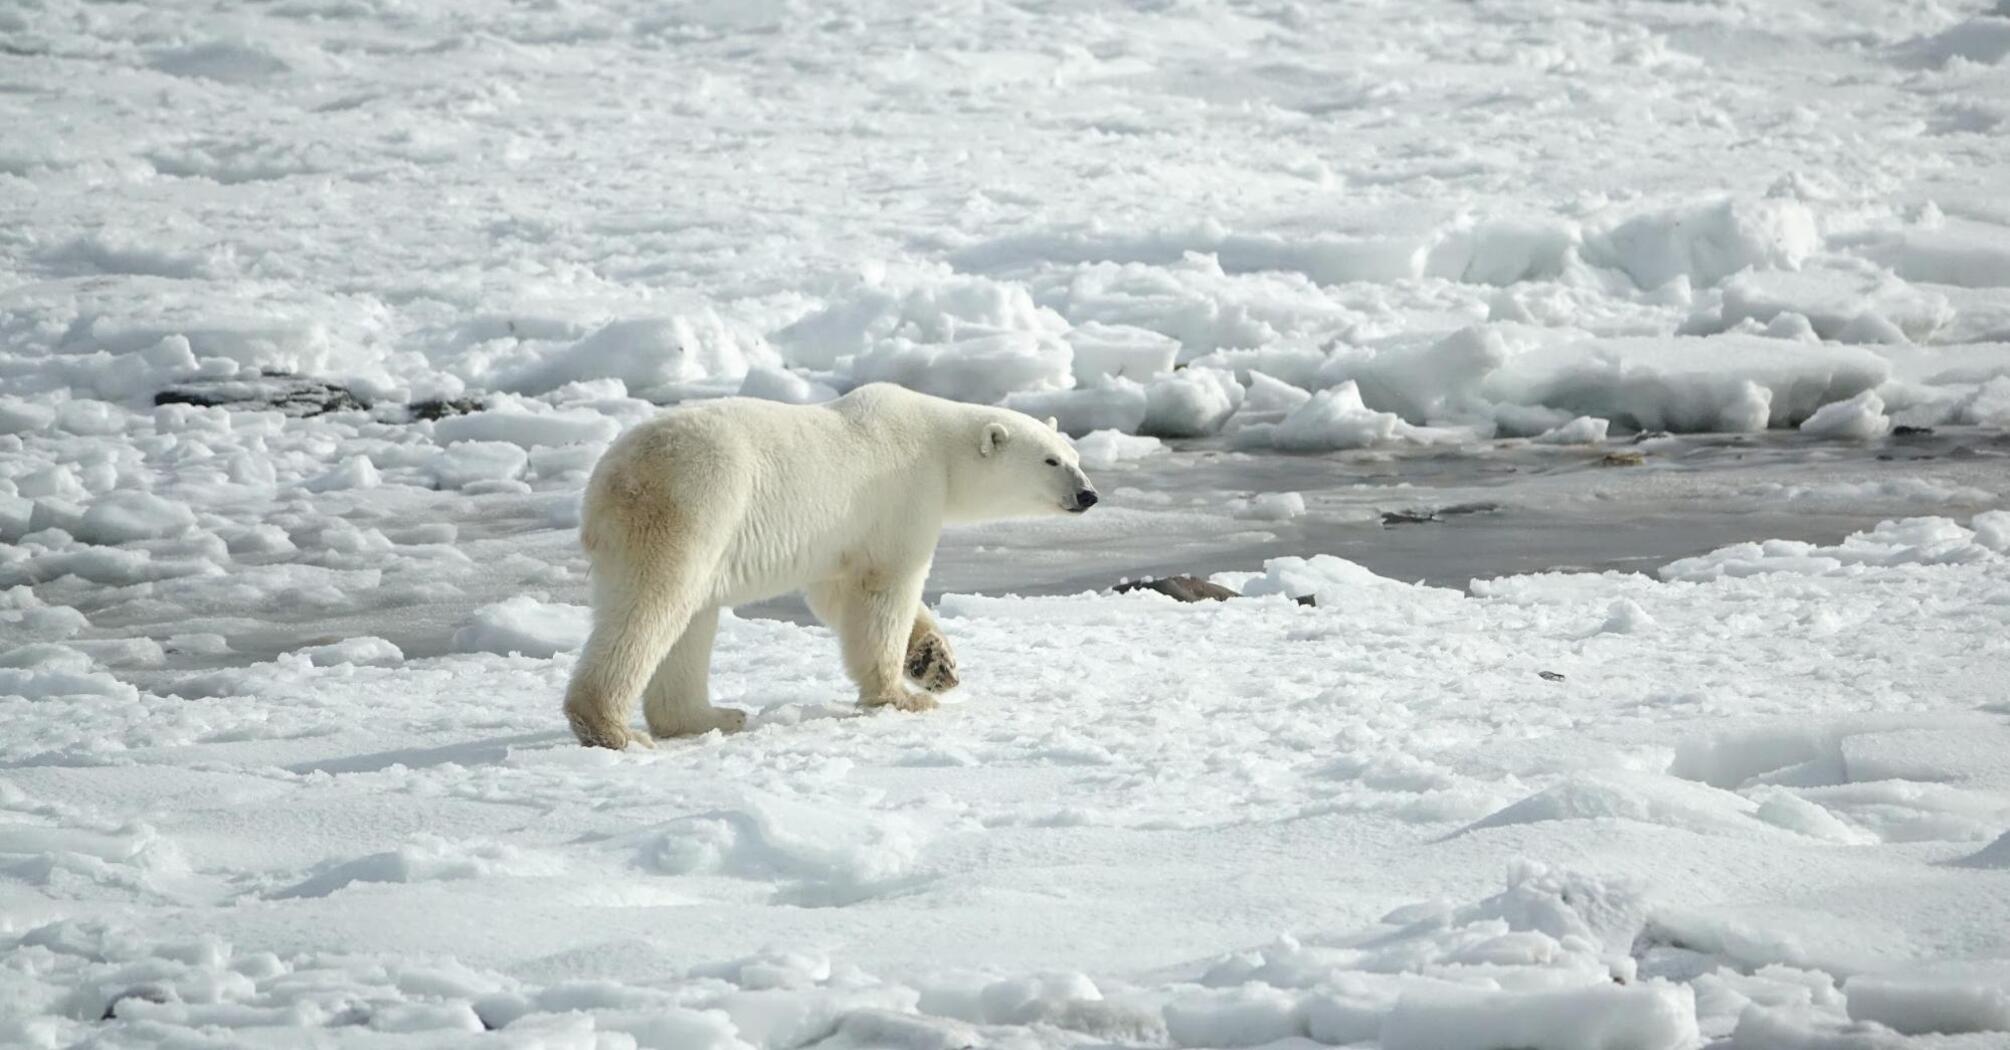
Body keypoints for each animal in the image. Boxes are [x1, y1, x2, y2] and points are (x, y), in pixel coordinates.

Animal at [562, 380, 1101, 748]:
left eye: (1074, 455)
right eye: (1051, 461)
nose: (1089, 494)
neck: (940, 447)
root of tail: (610, 480)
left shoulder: (841, 537)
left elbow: (837, 593)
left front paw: (935, 663)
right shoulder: (902, 495)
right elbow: (885, 589)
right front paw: (903, 696)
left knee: (691, 619)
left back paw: (712, 716)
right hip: (693, 504)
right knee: (654, 606)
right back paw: (612, 729)